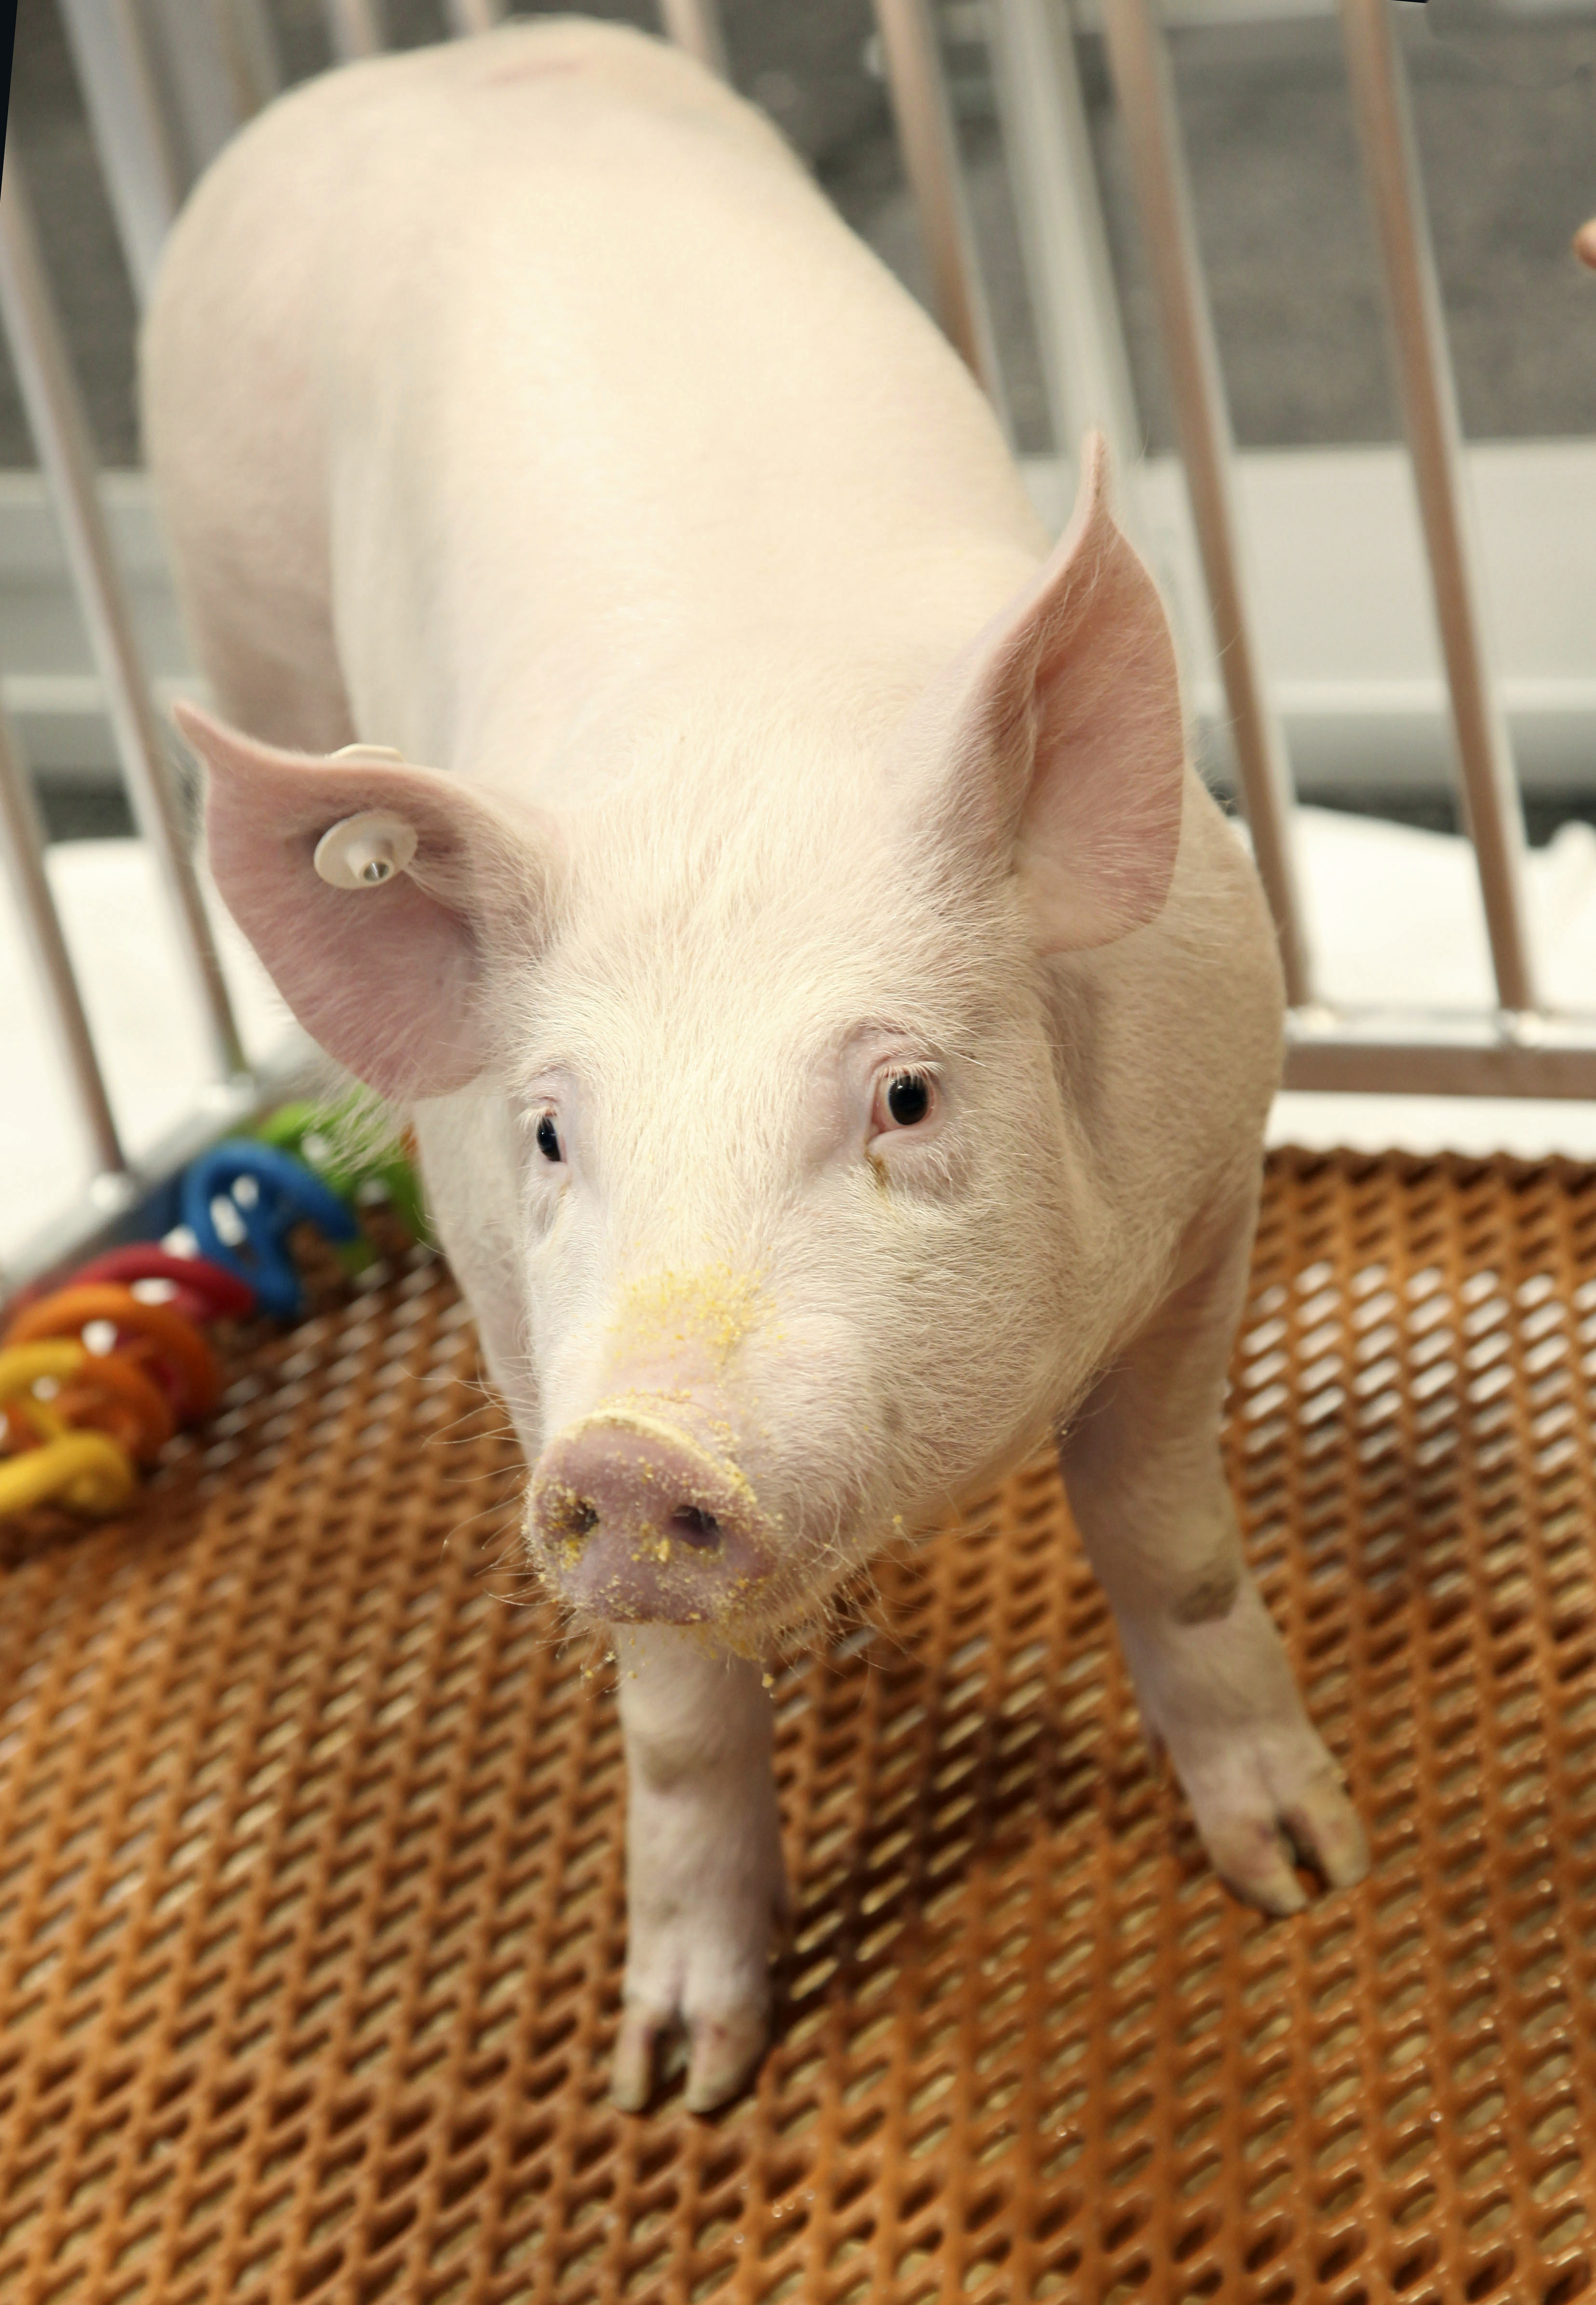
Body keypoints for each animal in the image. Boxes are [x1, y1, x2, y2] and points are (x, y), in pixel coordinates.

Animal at [142, 17, 1368, 2113]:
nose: (635, 1456)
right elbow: (672, 1704)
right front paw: (676, 2080)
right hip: (242, 588)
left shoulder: (1218, 1172)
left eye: (904, 1095)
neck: (741, 745)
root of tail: (433, 62)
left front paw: (1304, 1877)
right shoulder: (508, 1314)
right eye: (554, 1131)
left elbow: (1166, 1537)